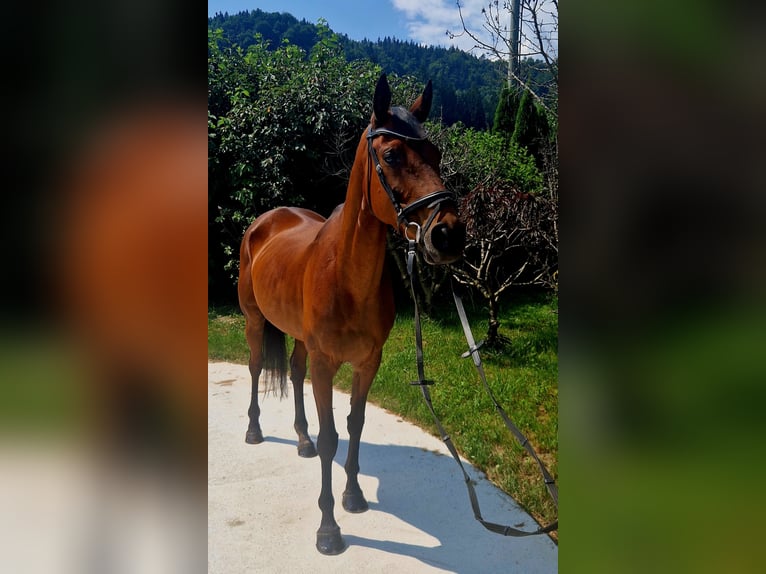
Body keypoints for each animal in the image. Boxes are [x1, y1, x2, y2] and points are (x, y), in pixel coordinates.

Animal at [237, 74, 464, 556]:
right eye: (392, 155)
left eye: (435, 153)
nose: (449, 234)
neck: (347, 276)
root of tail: (265, 220)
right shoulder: (327, 364)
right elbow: (331, 439)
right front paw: (328, 529)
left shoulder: (367, 362)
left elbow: (354, 425)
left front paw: (354, 495)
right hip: (253, 321)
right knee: (255, 367)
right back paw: (255, 431)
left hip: (299, 338)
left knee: (293, 370)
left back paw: (300, 438)